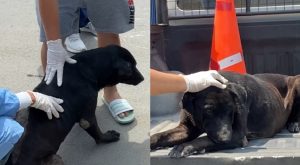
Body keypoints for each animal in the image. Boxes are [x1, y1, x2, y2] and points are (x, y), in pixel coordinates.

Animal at [7, 44, 143, 164]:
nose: (143, 78)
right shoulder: (87, 118)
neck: (87, 67)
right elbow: (97, 133)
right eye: (132, 67)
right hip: (55, 158)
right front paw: (107, 137)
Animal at [151, 71, 300, 158]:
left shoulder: (238, 135)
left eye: (231, 110)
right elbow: (160, 135)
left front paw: (185, 146)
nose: (225, 139)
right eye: (208, 110)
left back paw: (294, 123)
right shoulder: (186, 129)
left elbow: (204, 139)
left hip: (297, 80)